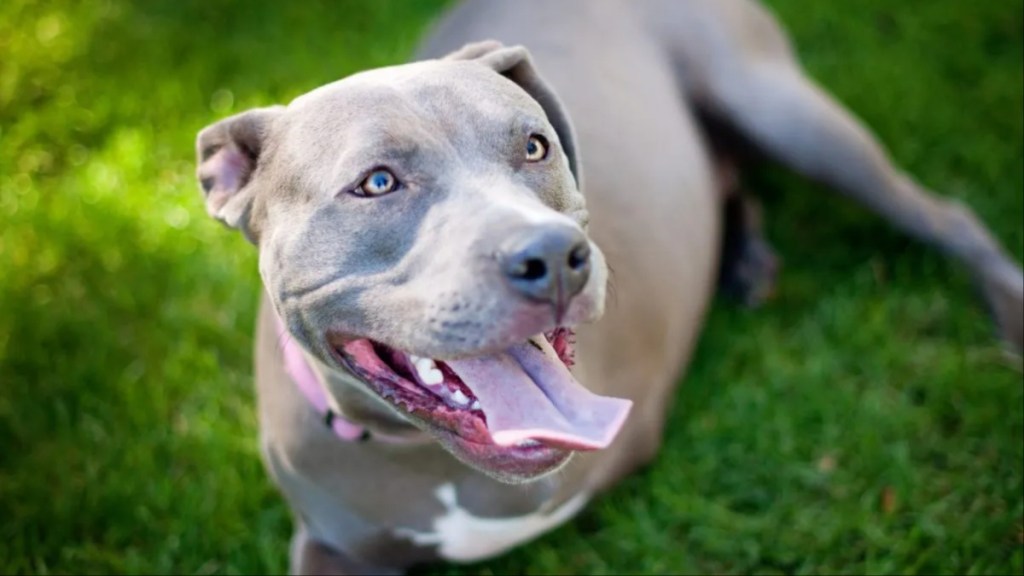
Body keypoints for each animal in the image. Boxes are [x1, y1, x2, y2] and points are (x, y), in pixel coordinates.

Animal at [193, 0, 1024, 569]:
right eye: (376, 182)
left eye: (535, 146)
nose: (554, 255)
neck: (433, 461)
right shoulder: (328, 547)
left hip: (780, 108)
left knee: (942, 212)